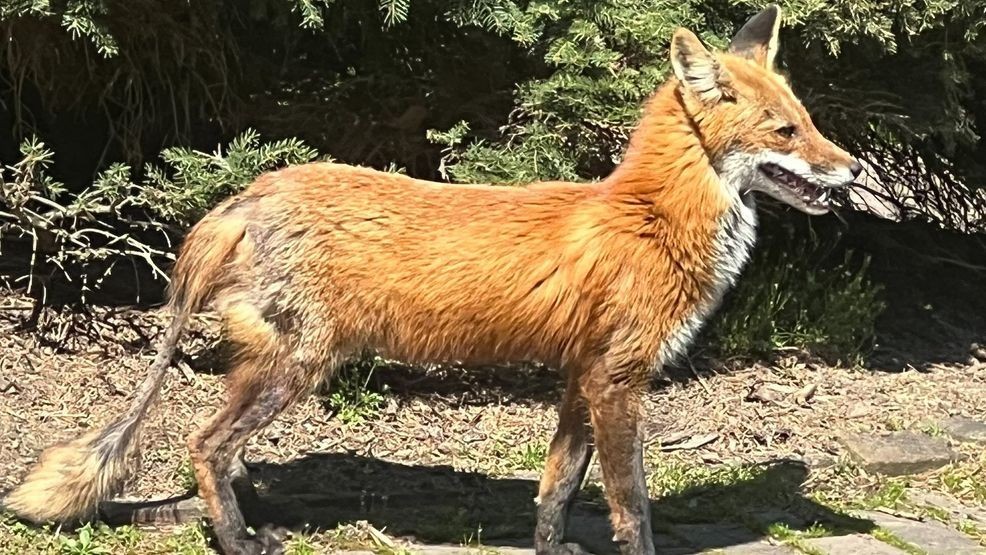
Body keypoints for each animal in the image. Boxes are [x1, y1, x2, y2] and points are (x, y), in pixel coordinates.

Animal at [4, 5, 861, 555]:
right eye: (787, 131)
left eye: (810, 121)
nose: (855, 169)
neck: (649, 218)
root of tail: (247, 193)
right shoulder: (618, 379)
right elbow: (633, 508)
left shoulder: (581, 376)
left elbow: (556, 491)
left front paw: (552, 548)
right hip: (296, 368)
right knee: (202, 444)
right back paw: (241, 541)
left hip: (273, 368)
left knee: (223, 451)